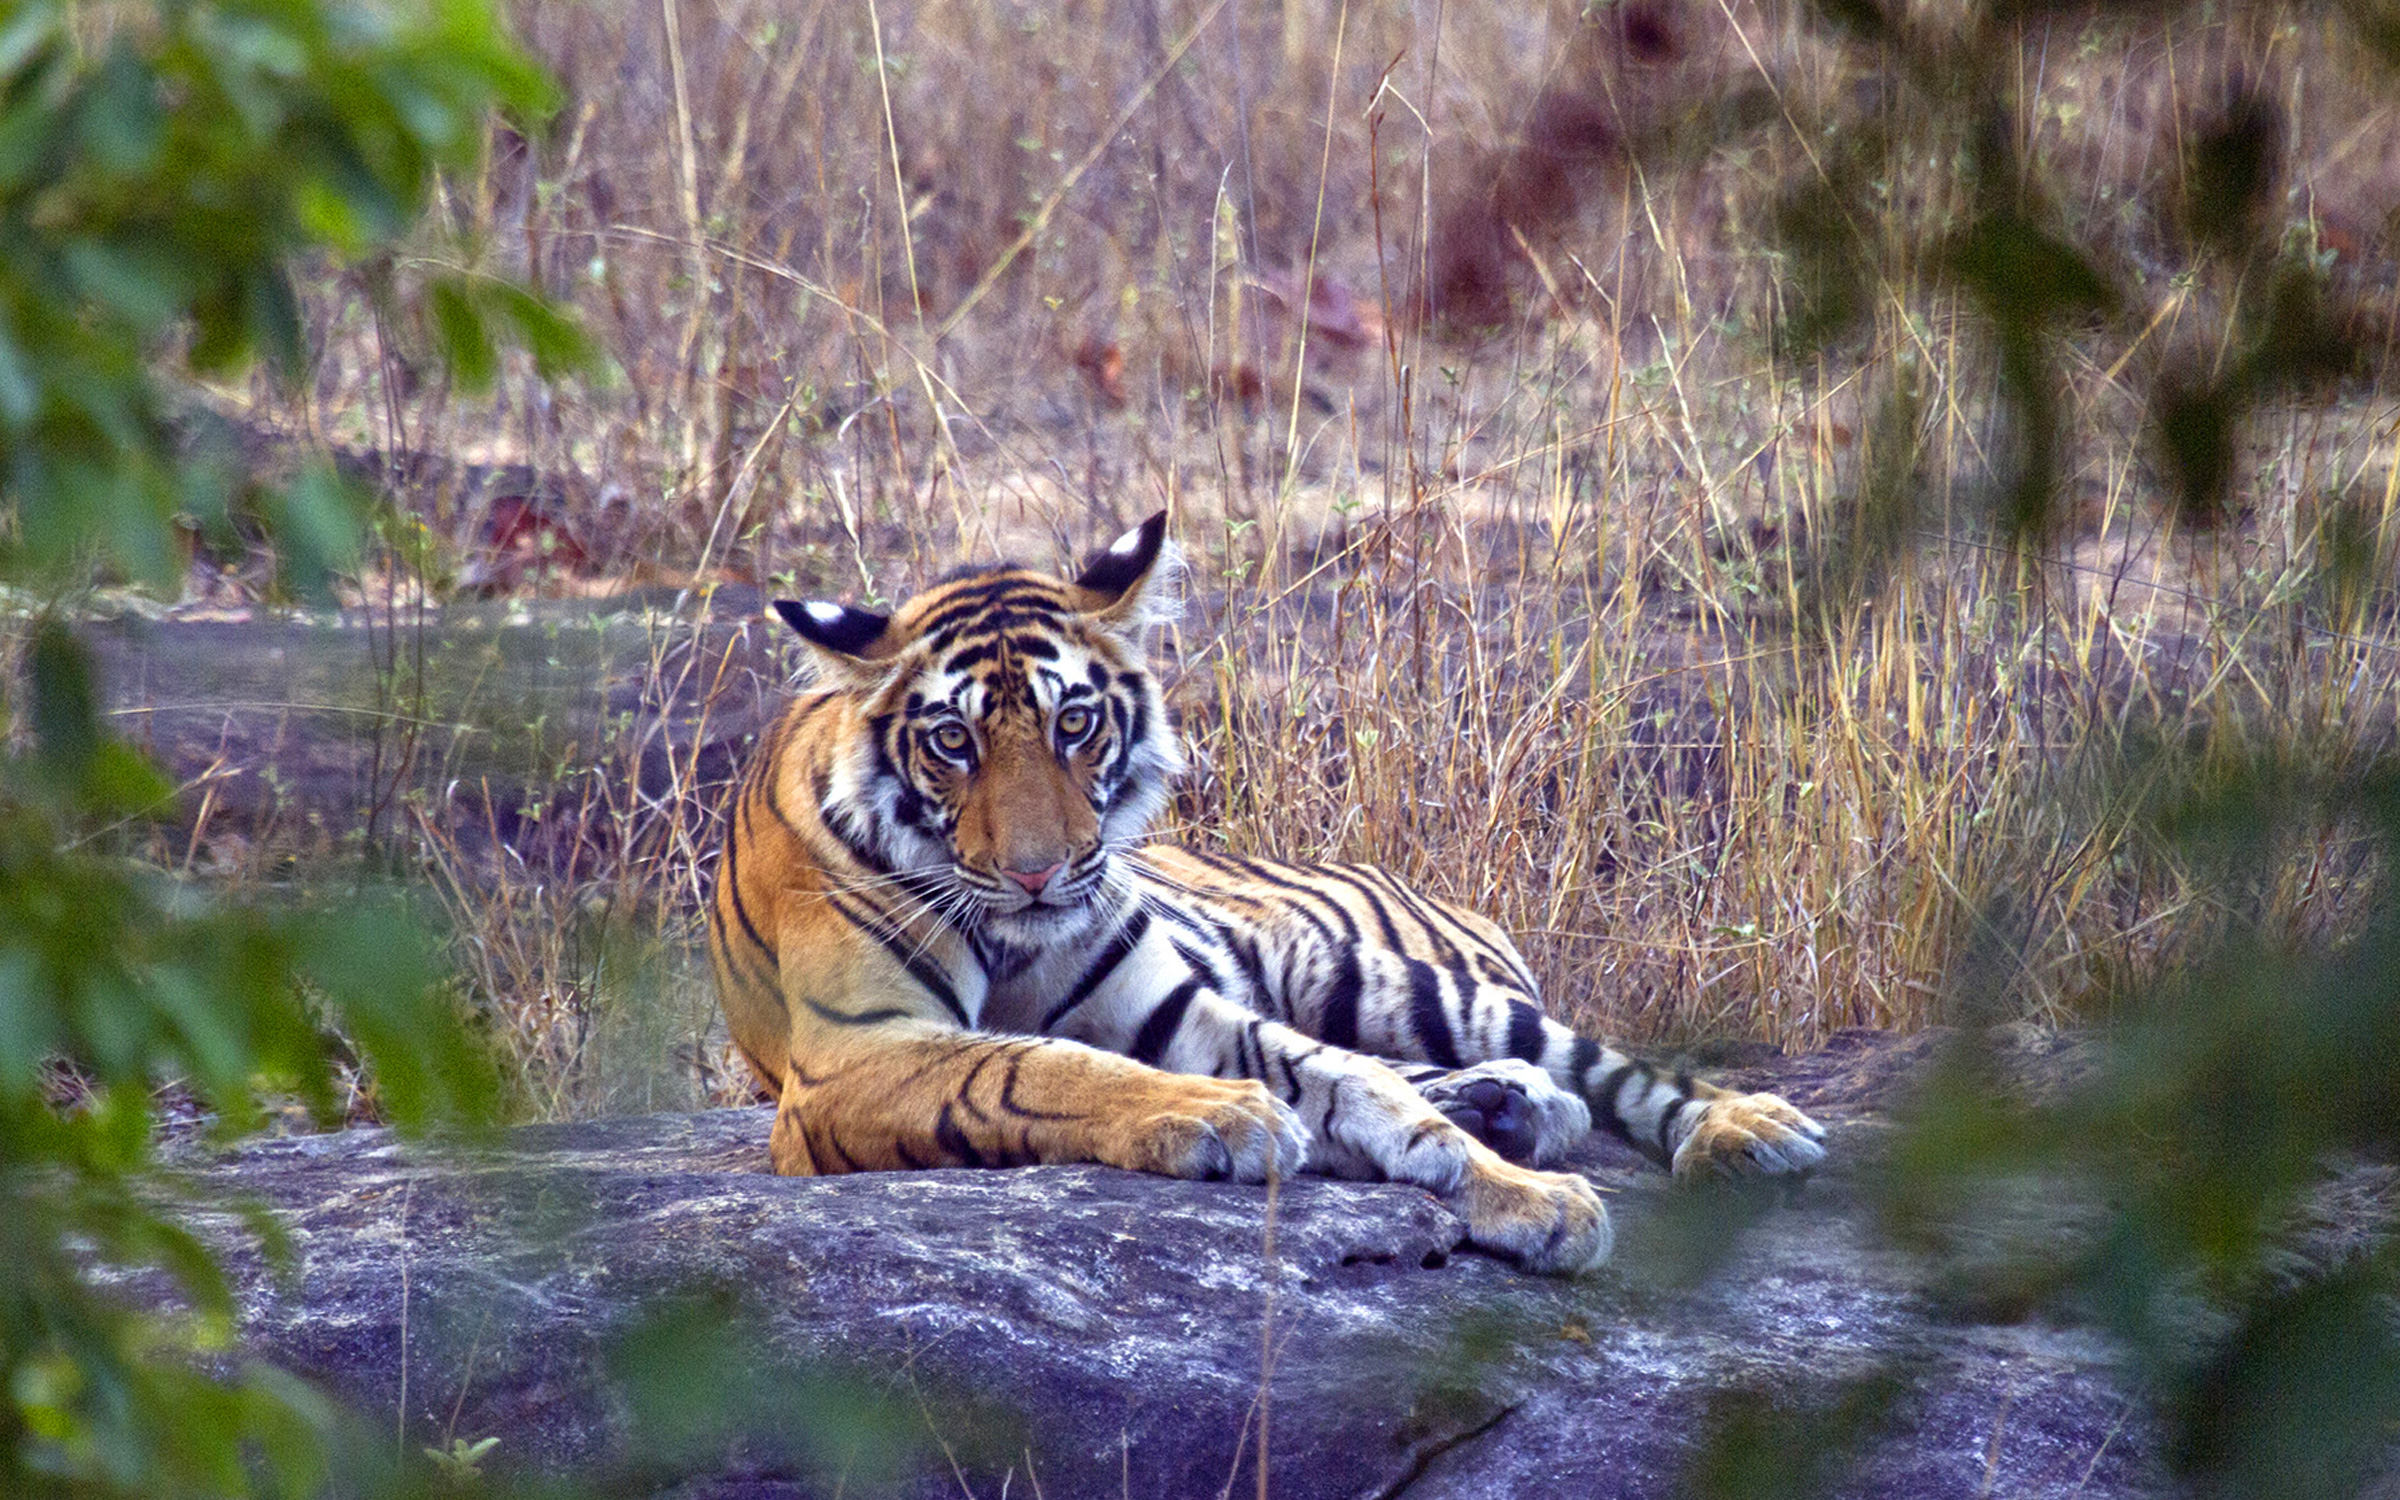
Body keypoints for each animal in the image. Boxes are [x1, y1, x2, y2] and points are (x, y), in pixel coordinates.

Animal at [707, 512, 1826, 1274]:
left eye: (1074, 724)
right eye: (952, 741)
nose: (1037, 871)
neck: (1016, 936)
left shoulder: (1177, 1008)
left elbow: (1349, 1082)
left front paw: (1527, 1197)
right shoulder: (851, 1057)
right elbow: (1038, 1066)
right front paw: (1225, 1117)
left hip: (1378, 975)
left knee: (1602, 1067)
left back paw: (1738, 1129)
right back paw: (1510, 1104)